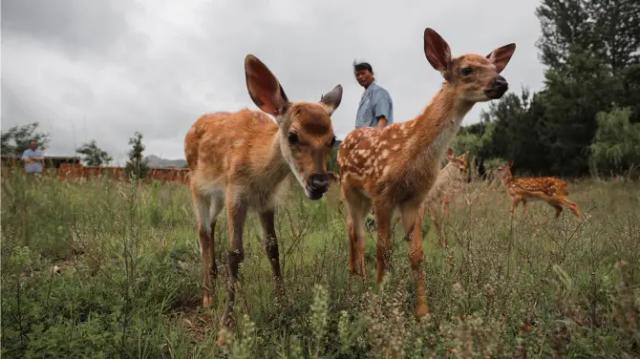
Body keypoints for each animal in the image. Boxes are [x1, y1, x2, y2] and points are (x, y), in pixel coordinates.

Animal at [185, 54, 342, 328]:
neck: (258, 173)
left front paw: (283, 304)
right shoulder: (235, 194)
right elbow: (235, 253)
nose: (319, 183)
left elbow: (273, 248)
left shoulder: (266, 201)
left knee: (211, 226)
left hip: (217, 196)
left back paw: (212, 279)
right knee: (202, 231)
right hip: (197, 185)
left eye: (332, 139)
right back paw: (208, 297)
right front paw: (226, 324)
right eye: (293, 135)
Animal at [338, 27, 516, 318]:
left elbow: (417, 254)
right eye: (467, 69)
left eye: (493, 67)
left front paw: (422, 312)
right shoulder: (383, 193)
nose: (502, 82)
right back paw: (356, 280)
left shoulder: (415, 199)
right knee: (355, 231)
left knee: (354, 229)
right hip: (349, 189)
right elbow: (384, 249)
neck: (413, 154)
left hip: (363, 197)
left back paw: (358, 275)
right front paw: (381, 298)